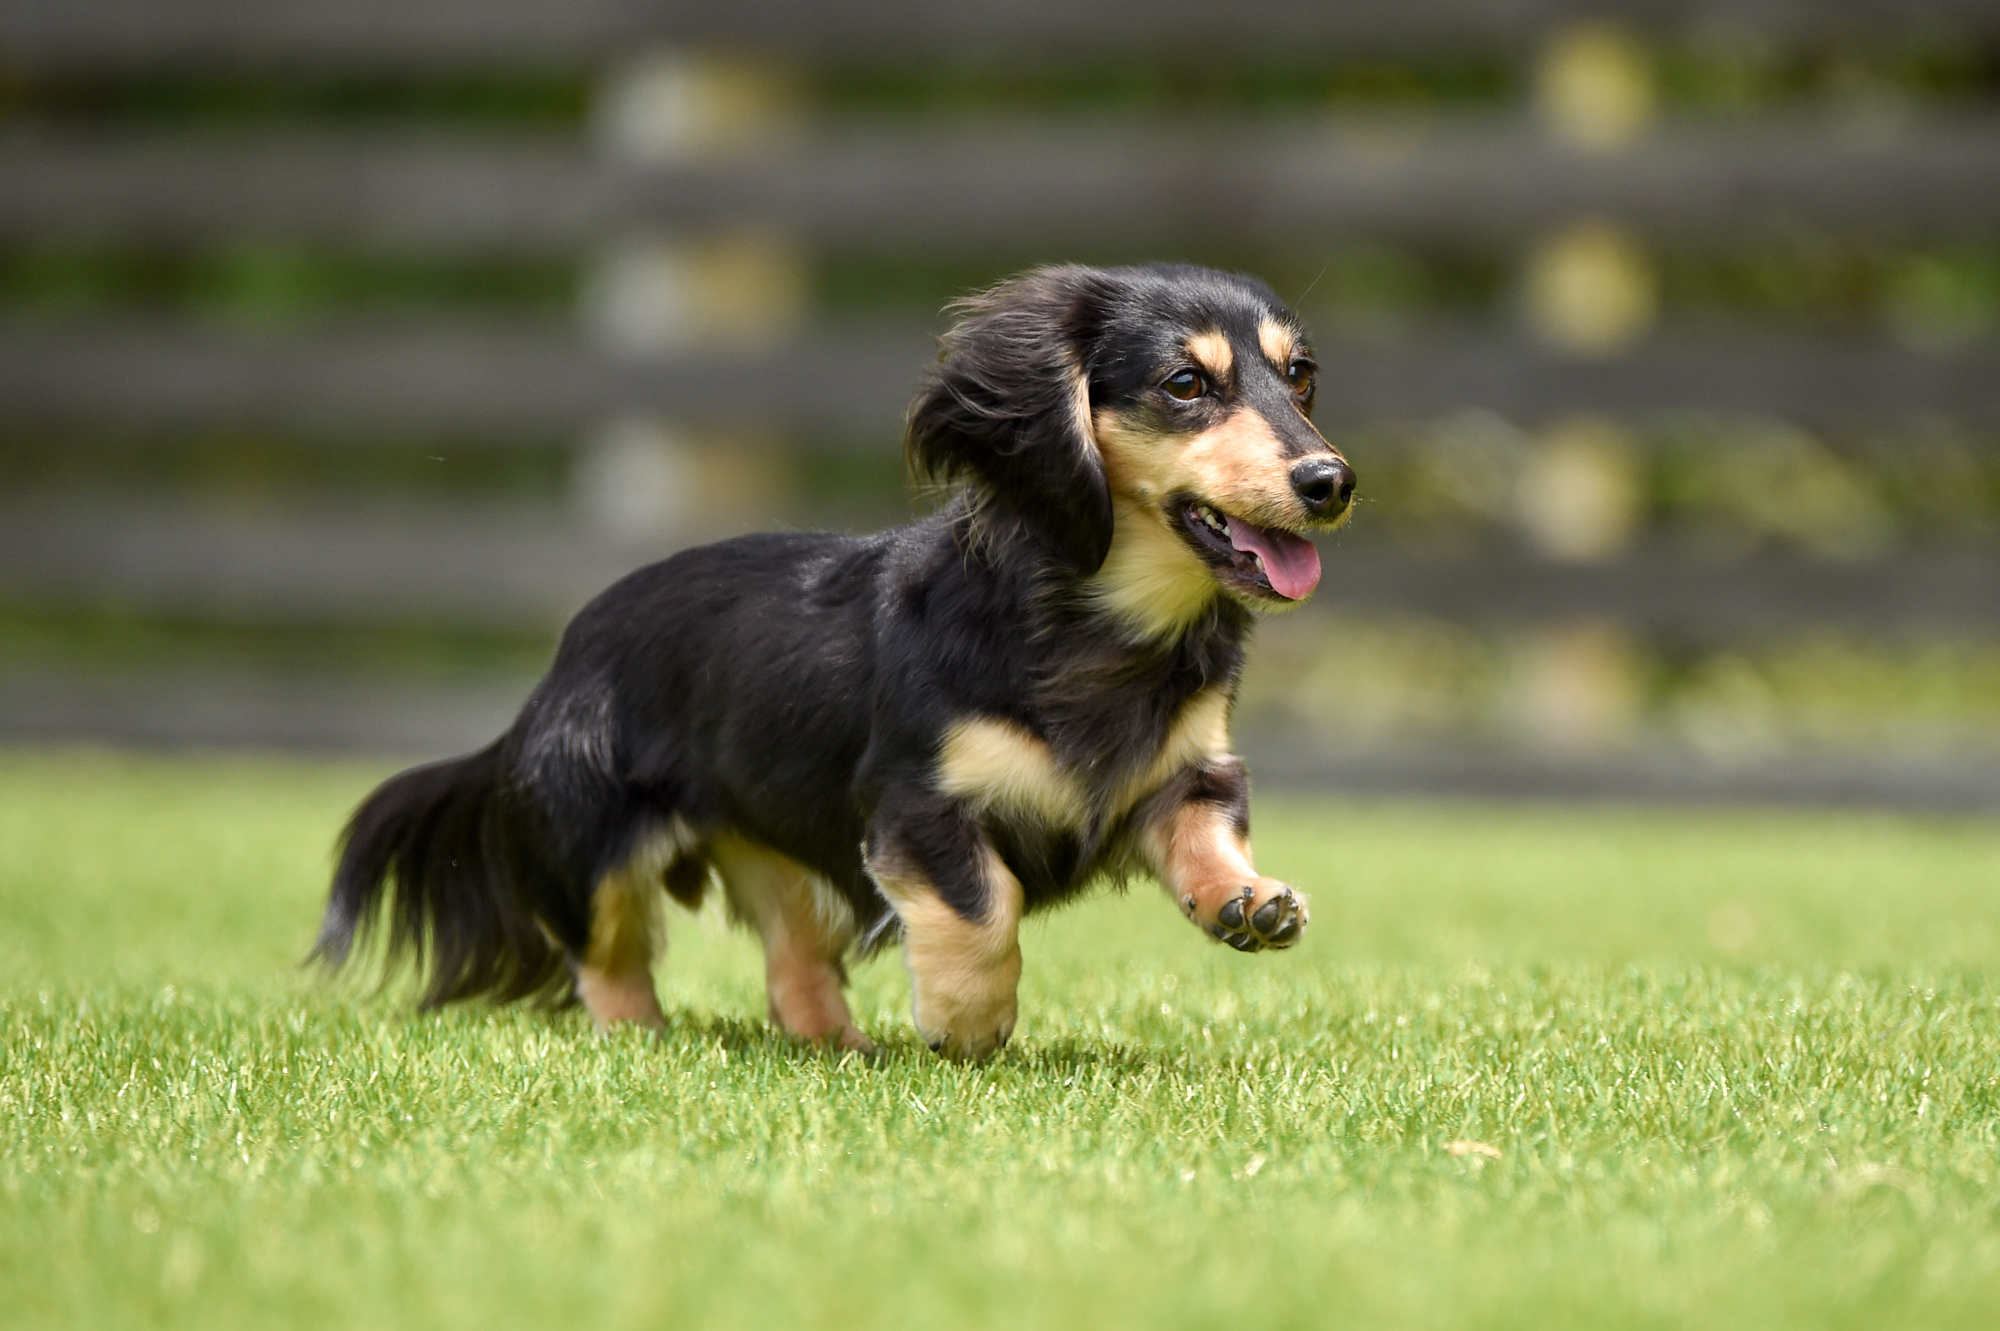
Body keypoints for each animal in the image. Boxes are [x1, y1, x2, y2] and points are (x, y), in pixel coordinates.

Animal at [316, 263, 1360, 1055]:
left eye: (1301, 376)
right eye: (1187, 385)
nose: (1331, 480)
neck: (1105, 625)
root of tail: (555, 670)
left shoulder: (1189, 771)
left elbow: (1205, 834)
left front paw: (1247, 900)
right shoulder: (917, 805)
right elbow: (985, 906)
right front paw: (966, 1022)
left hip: (778, 853)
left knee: (793, 963)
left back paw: (838, 1046)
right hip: (595, 836)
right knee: (606, 958)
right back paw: (644, 1039)